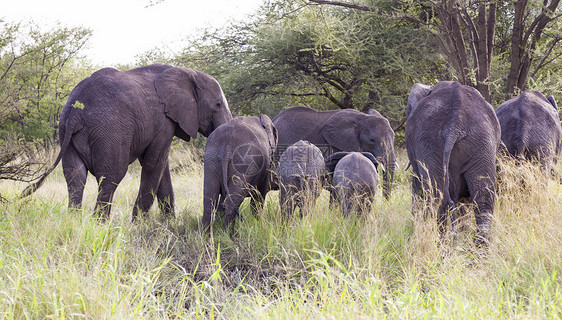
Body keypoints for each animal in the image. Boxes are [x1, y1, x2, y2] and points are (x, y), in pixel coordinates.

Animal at [23, 65, 232, 220]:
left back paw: (74, 222)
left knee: (75, 176)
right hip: (110, 131)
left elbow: (161, 167)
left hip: (65, 130)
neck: (186, 73)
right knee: (111, 176)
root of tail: (76, 110)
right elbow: (154, 163)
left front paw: (170, 223)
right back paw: (100, 226)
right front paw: (140, 224)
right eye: (218, 105)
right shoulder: (163, 121)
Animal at [402, 80, 498, 245]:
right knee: (483, 198)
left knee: (438, 198)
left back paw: (441, 245)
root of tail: (456, 122)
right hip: (482, 142)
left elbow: (417, 188)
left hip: (429, 143)